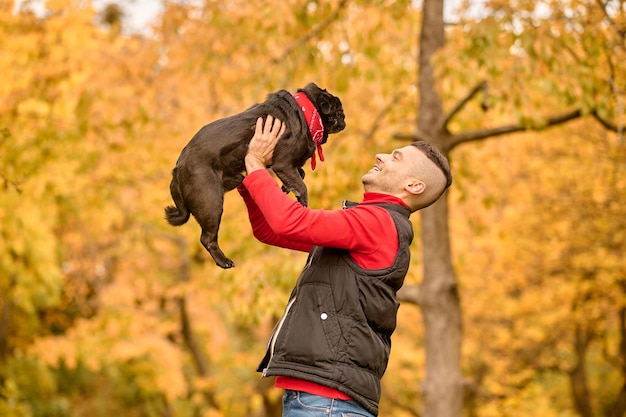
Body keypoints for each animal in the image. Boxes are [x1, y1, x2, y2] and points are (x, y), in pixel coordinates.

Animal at [163, 83, 344, 268]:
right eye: (338, 110)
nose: (344, 117)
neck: (307, 113)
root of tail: (178, 168)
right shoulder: (283, 163)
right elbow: (302, 187)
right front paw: (302, 204)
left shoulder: (286, 167)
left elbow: (300, 174)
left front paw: (285, 187)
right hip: (210, 203)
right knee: (207, 238)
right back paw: (223, 261)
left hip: (232, 181)